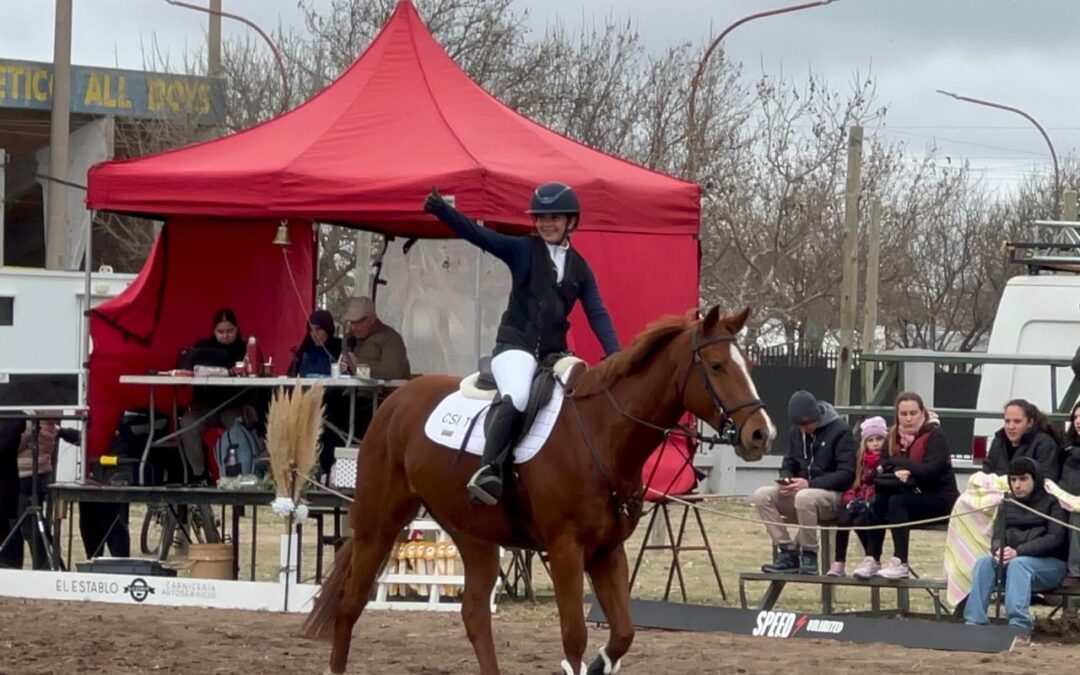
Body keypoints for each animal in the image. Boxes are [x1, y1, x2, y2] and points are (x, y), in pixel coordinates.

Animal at [304, 306, 775, 674]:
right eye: (716, 366)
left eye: (750, 368)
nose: (760, 434)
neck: (602, 433)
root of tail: (395, 402)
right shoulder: (566, 550)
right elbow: (574, 636)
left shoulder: (607, 552)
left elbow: (622, 634)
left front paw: (602, 664)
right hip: (378, 524)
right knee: (350, 604)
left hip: (474, 537)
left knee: (474, 615)